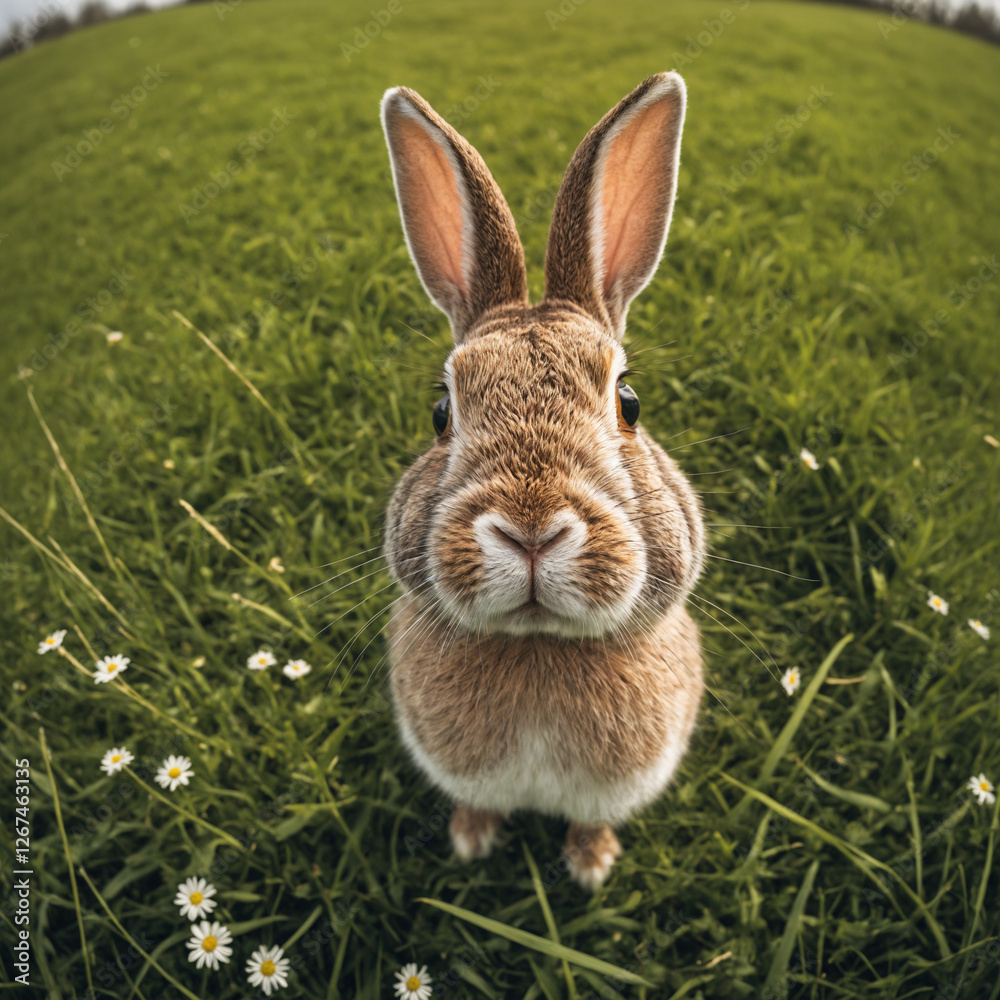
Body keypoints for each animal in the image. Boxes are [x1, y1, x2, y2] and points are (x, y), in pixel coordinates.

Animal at [380, 72, 705, 889]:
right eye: (440, 412)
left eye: (629, 403)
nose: (530, 532)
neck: (537, 646)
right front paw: (470, 840)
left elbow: (591, 820)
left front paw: (591, 866)